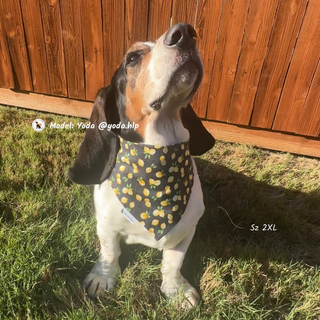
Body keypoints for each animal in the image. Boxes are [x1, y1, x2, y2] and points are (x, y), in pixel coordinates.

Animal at [69, 22, 215, 308]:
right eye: (132, 57)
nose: (185, 32)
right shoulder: (106, 225)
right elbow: (110, 251)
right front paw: (103, 277)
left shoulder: (186, 232)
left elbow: (172, 263)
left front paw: (175, 289)